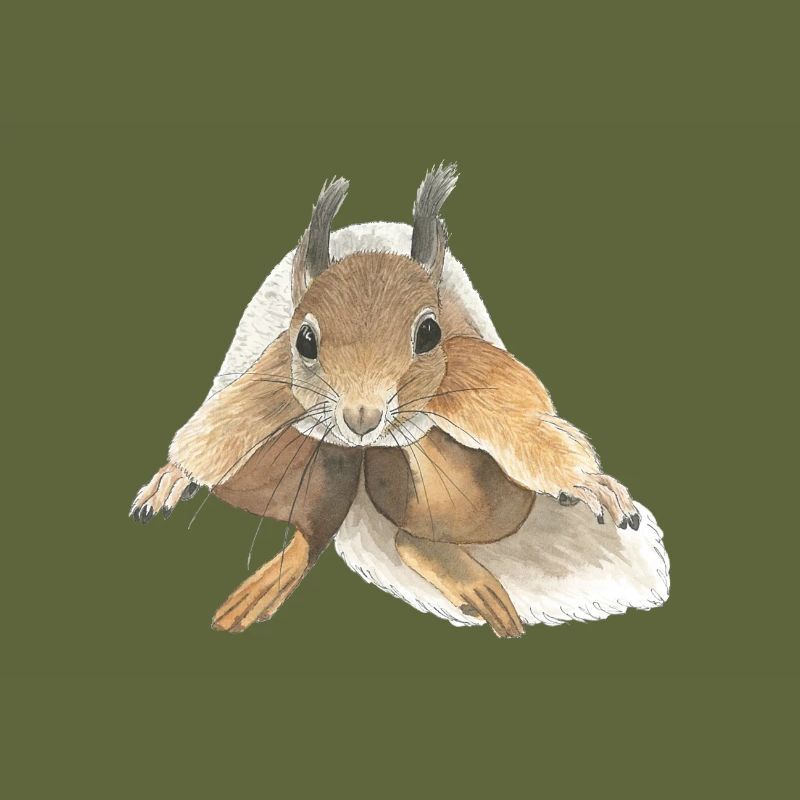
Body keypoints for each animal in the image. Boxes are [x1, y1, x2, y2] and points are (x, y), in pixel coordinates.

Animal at [131, 165, 664, 639]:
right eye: (305, 340)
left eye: (429, 333)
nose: (361, 417)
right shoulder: (272, 377)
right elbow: (225, 420)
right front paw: (175, 476)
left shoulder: (475, 369)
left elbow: (522, 421)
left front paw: (587, 481)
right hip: (317, 471)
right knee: (316, 533)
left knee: (410, 534)